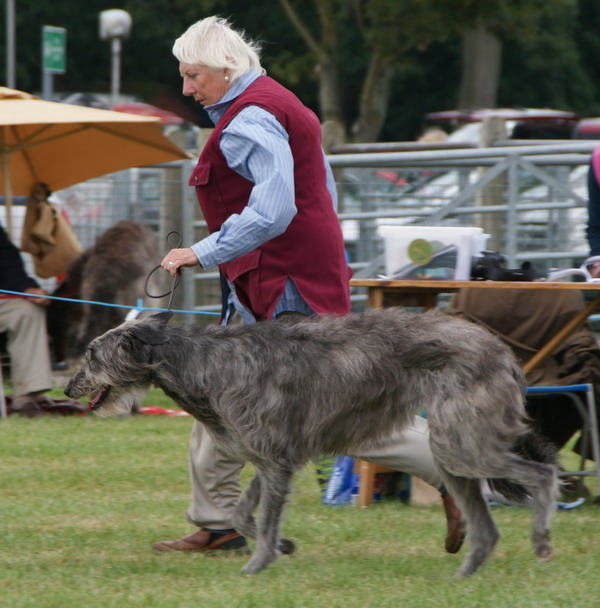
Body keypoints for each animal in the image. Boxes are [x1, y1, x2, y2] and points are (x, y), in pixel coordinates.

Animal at [63, 306, 560, 576]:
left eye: (91, 354)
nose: (67, 389)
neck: (202, 362)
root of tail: (503, 351)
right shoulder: (273, 459)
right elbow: (244, 514)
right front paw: (281, 548)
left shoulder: (276, 460)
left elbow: (263, 520)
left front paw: (257, 565)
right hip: (455, 447)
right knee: (486, 521)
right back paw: (465, 571)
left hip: (463, 441)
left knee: (542, 473)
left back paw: (541, 540)